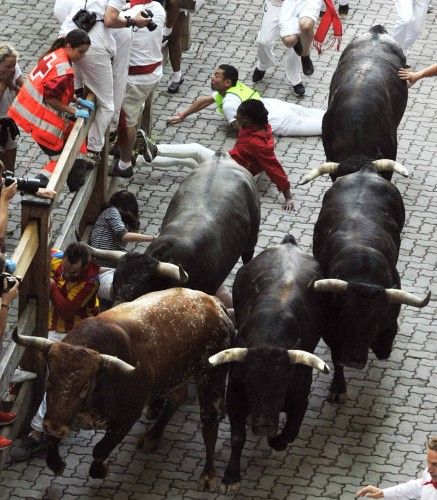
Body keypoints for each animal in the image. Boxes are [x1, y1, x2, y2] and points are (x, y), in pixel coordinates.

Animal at [12, 288, 235, 490]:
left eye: (85, 387)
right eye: (50, 379)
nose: (55, 426)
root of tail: (215, 303)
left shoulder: (126, 417)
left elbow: (100, 450)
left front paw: (100, 471)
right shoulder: (58, 413)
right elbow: (52, 440)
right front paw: (56, 463)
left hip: (211, 378)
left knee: (209, 422)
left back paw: (208, 474)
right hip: (173, 378)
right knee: (177, 398)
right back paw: (153, 436)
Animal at [310, 166, 430, 404]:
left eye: (375, 321)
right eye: (346, 316)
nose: (355, 361)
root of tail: (366, 170)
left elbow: (385, 344)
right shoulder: (331, 329)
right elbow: (337, 356)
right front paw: (338, 387)